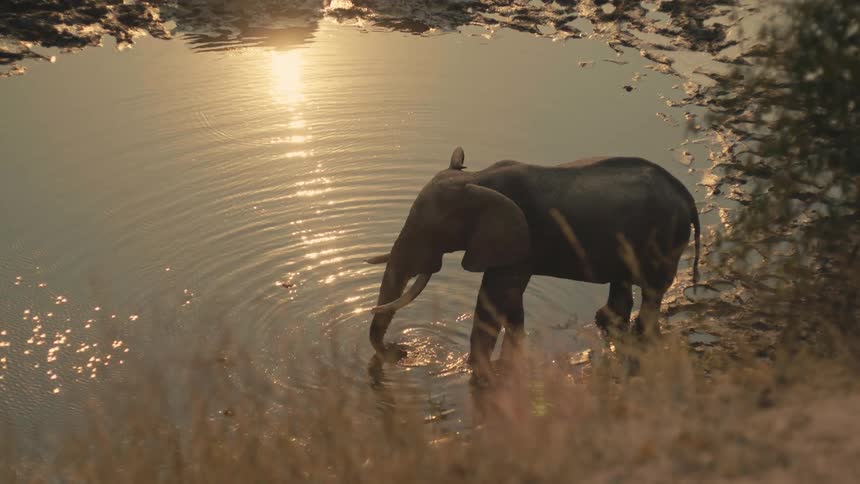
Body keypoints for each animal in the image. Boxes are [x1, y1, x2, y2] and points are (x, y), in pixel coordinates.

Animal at [365, 147, 700, 375]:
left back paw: (640, 337)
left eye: (431, 231)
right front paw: (509, 363)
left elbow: (494, 297)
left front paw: (478, 368)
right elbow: (511, 301)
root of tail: (686, 194)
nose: (401, 352)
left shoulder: (519, 240)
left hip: (666, 238)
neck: (476, 180)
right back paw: (607, 324)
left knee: (653, 290)